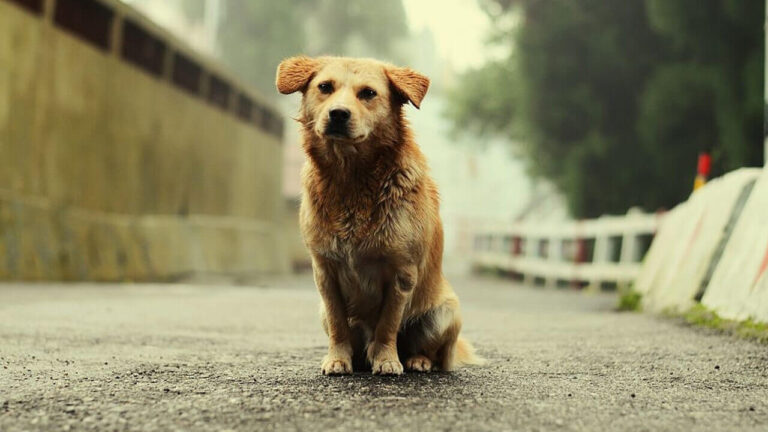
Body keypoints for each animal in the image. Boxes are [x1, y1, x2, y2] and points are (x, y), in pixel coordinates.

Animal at [274, 56, 480, 374]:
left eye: (368, 93)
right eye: (325, 87)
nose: (338, 114)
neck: (353, 180)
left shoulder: (402, 273)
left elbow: (388, 324)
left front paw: (386, 360)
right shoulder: (325, 271)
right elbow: (338, 323)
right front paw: (337, 359)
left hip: (445, 313)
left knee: (429, 351)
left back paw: (416, 360)